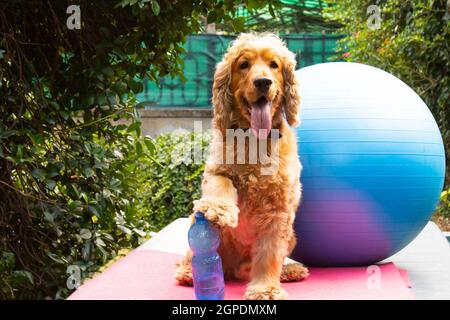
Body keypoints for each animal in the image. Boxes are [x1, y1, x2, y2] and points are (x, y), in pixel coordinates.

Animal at [174, 33, 308, 300]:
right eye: (244, 65)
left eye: (274, 65)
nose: (263, 82)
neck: (253, 139)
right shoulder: (216, 168)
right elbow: (221, 183)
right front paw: (220, 208)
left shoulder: (278, 210)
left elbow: (270, 253)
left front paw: (265, 289)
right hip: (199, 228)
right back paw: (190, 271)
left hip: (292, 237)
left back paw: (289, 270)